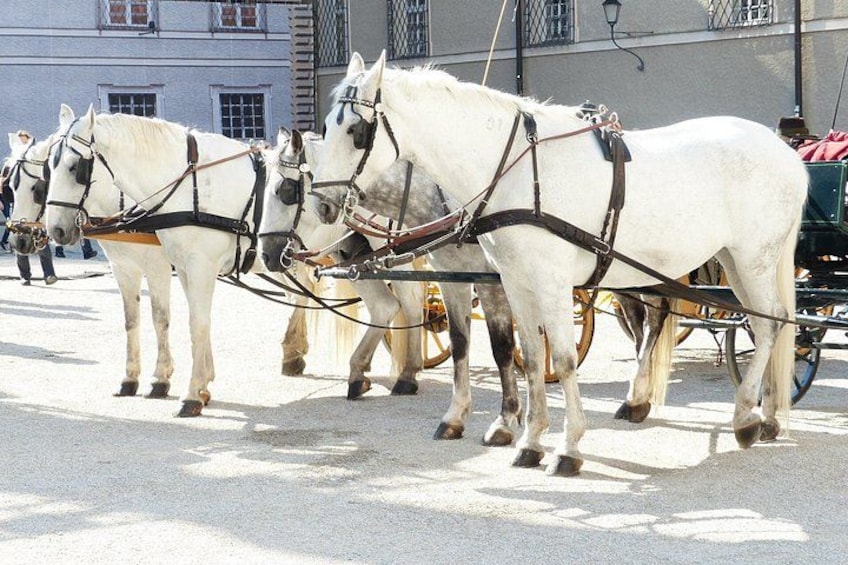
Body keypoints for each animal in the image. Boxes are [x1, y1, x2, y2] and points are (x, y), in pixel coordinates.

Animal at [4, 131, 175, 398]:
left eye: (37, 189)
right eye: (11, 187)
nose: (18, 239)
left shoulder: (158, 269)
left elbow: (160, 319)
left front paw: (160, 378)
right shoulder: (124, 269)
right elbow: (131, 319)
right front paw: (130, 378)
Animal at [259, 128, 521, 445]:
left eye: (285, 191)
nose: (266, 254)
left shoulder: (497, 280)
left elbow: (507, 344)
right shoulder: (454, 275)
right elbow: (462, 340)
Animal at [309, 52, 807, 476]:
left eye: (356, 132)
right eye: (327, 127)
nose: (321, 204)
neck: (515, 170)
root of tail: (786, 152)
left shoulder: (549, 283)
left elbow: (562, 360)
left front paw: (567, 447)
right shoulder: (513, 280)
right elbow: (526, 357)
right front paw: (529, 440)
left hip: (753, 259)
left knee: (768, 323)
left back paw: (744, 416)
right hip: (730, 261)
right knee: (759, 321)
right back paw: (762, 415)